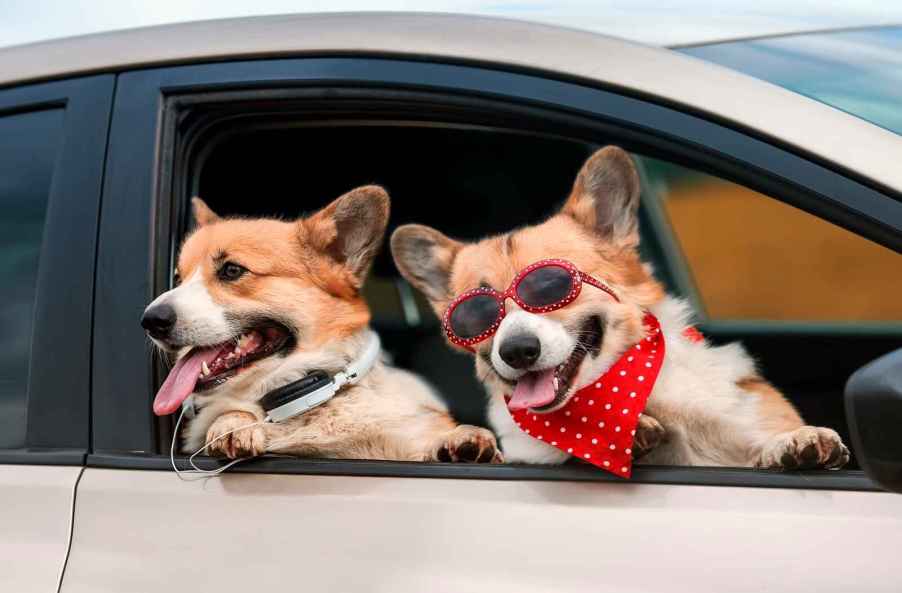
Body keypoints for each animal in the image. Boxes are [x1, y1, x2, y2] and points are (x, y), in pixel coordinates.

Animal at [145, 185, 504, 462]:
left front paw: (464, 439)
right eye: (178, 277)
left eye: (232, 270)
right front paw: (232, 424)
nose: (150, 321)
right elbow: (231, 411)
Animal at [392, 146, 852, 470]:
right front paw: (460, 443)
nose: (518, 351)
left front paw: (797, 440)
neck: (621, 392)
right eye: (475, 314)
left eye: (550, 284)